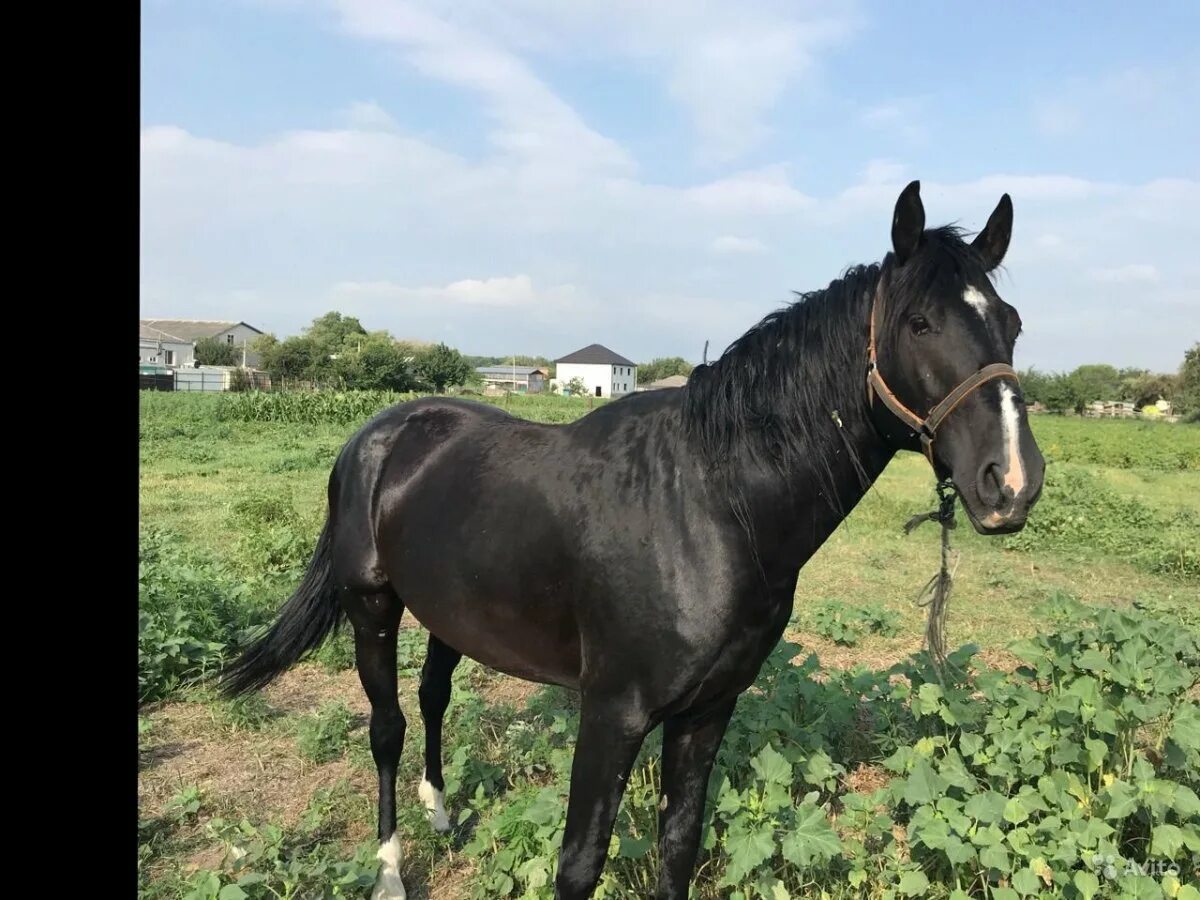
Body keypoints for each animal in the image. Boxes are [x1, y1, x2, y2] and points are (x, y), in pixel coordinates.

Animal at [220, 183, 1046, 900]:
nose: (1011, 480)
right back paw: (391, 870)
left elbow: (678, 848)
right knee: (387, 728)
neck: (710, 504)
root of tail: (380, 434)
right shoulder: (611, 713)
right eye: (919, 324)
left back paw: (442, 813)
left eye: (1011, 322)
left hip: (452, 612)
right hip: (373, 607)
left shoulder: (708, 711)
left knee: (432, 698)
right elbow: (580, 864)